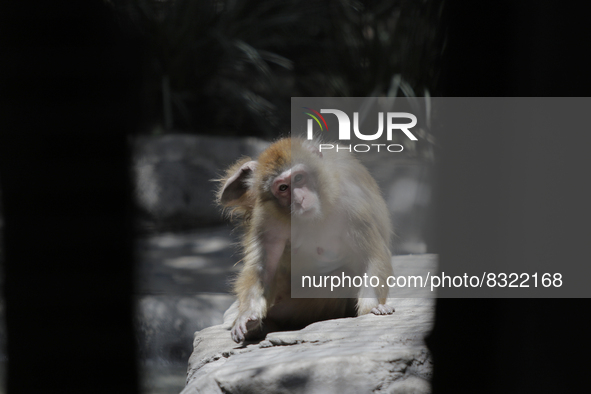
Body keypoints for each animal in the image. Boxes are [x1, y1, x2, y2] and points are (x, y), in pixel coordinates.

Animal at [217, 138, 394, 342]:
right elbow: (263, 270)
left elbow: (371, 255)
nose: (299, 199)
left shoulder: (353, 203)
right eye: (283, 188)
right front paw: (246, 317)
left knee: (343, 275)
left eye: (299, 178)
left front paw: (372, 307)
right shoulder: (268, 216)